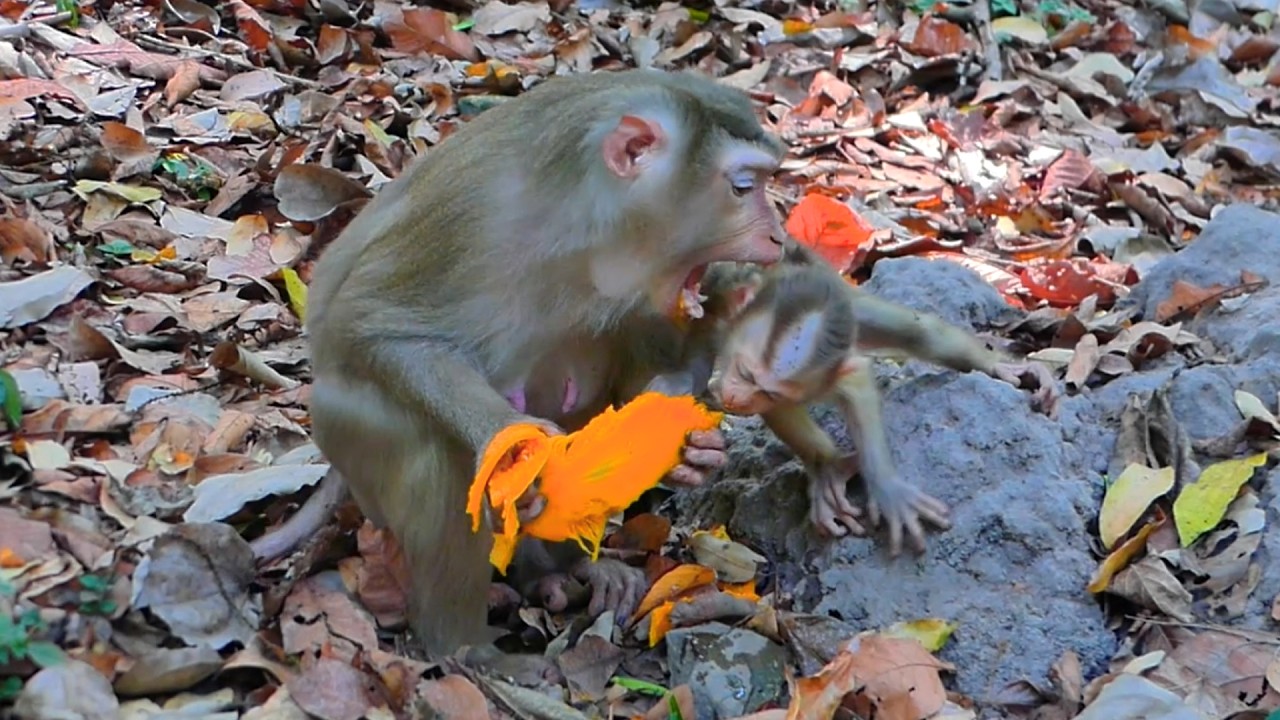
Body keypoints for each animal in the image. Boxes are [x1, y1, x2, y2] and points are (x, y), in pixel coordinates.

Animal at [289, 69, 788, 656]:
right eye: (742, 187)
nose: (779, 237)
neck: (583, 226)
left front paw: (695, 453)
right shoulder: (473, 220)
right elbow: (369, 323)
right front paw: (516, 449)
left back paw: (564, 573)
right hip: (347, 440)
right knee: (430, 452)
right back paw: (466, 653)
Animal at [696, 242, 1056, 555]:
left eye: (765, 389)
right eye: (744, 372)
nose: (734, 396)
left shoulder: (827, 358)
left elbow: (854, 383)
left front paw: (876, 482)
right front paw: (830, 468)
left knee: (918, 332)